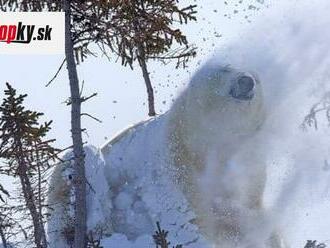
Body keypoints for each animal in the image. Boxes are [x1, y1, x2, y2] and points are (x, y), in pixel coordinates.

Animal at [46, 61, 284, 247]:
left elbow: (247, 210)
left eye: (256, 76)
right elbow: (179, 211)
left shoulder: (247, 169)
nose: (247, 80)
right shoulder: (172, 159)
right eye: (224, 68)